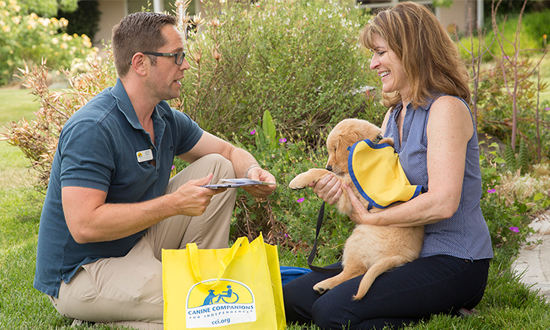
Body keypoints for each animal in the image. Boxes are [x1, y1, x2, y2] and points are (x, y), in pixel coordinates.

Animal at [292, 119, 424, 302]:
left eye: (335, 149)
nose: (329, 166)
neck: (370, 147)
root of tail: (403, 257)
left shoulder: (349, 188)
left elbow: (322, 173)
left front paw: (299, 179)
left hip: (357, 238)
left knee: (355, 271)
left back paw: (324, 284)